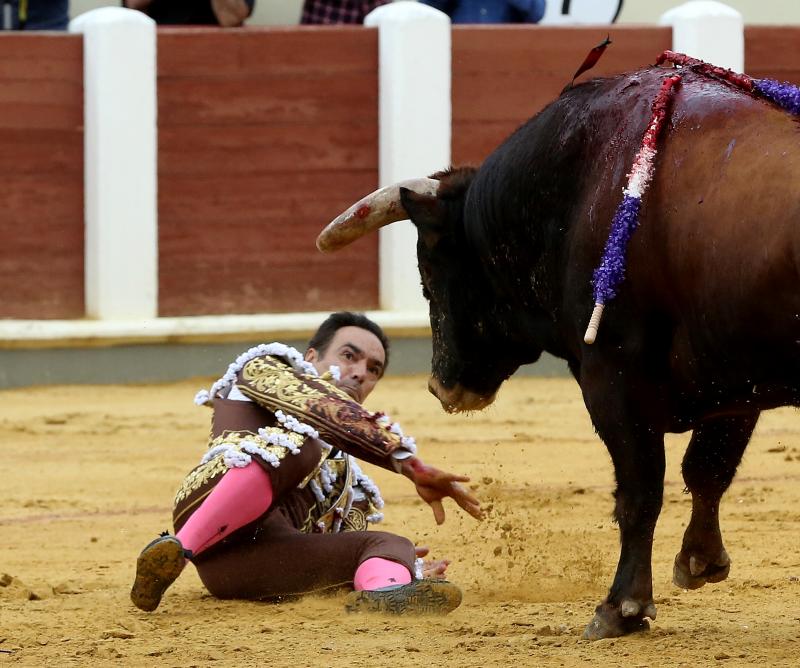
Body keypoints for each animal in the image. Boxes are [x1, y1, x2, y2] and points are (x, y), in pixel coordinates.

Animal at [316, 60, 796, 640]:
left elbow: (640, 490)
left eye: (428, 277)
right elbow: (707, 470)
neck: (575, 183)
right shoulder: (734, 380)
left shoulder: (612, 373)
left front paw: (621, 607)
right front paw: (700, 563)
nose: (440, 385)